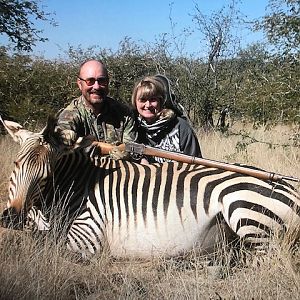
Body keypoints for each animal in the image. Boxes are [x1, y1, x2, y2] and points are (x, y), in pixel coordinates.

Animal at [0, 117, 300, 258]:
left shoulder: (86, 237)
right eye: (15, 164)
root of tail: (291, 188)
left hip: (245, 211)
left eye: (46, 175)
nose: (11, 217)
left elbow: (43, 243)